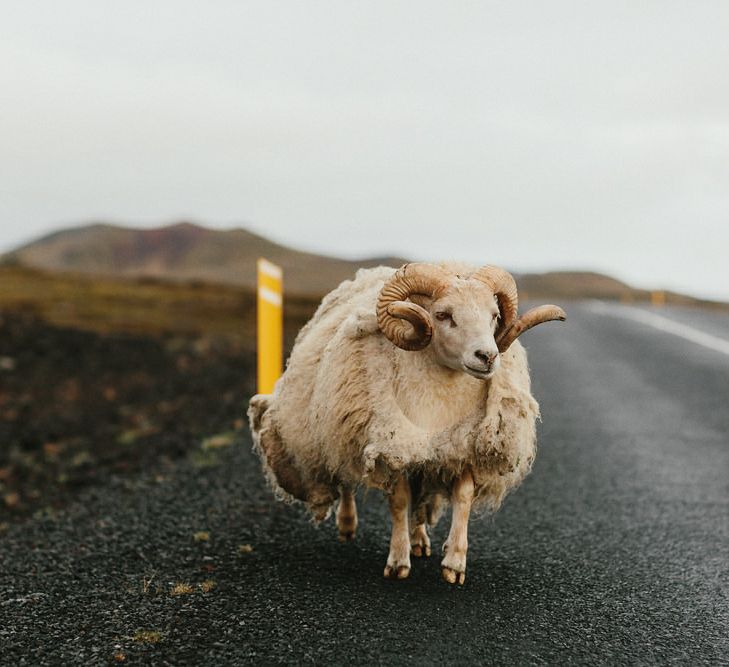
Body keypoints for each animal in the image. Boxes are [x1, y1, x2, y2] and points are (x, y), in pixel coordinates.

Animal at [247, 260, 564, 584]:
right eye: (443, 315)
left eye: (494, 315)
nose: (487, 356)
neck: (438, 402)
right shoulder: (391, 445)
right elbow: (399, 500)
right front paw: (398, 560)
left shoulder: (464, 444)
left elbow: (462, 499)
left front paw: (454, 562)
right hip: (343, 426)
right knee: (344, 474)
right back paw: (348, 524)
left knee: (419, 493)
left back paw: (420, 539)